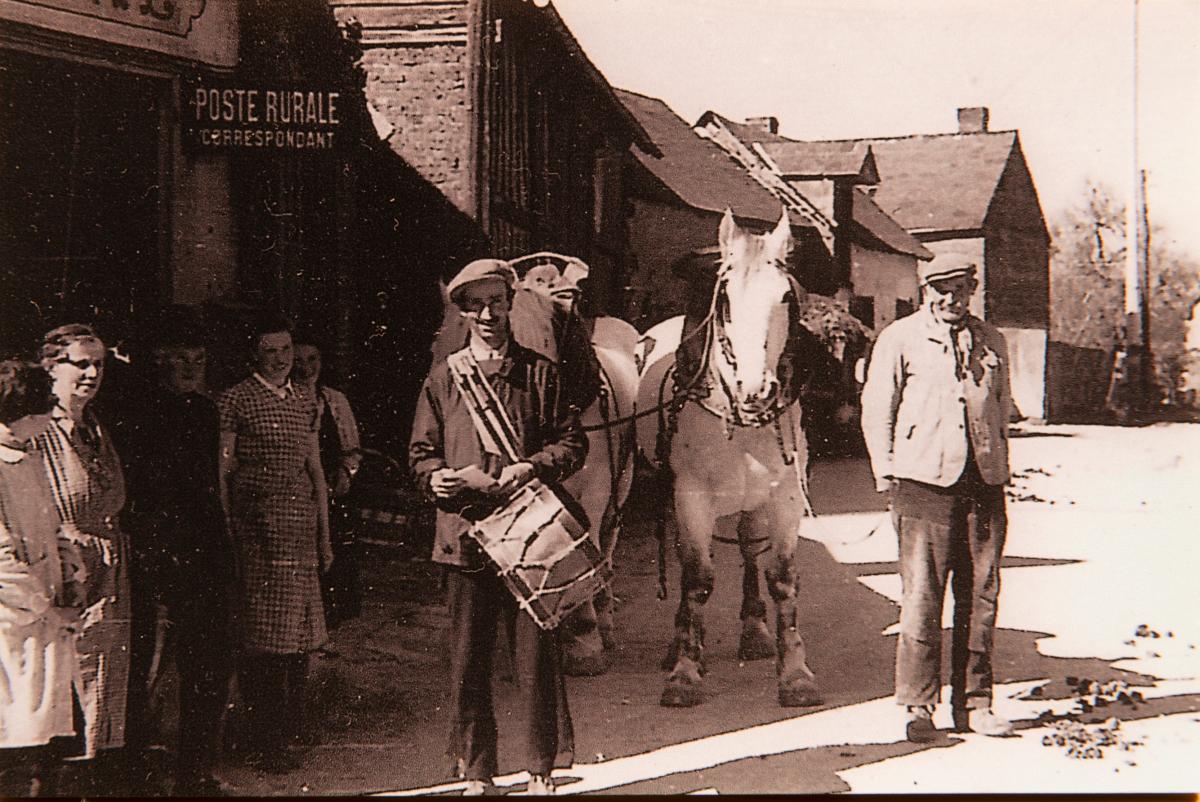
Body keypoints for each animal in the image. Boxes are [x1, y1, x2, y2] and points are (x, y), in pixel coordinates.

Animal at [638, 208, 825, 705]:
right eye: (724, 299)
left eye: (786, 296)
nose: (756, 389)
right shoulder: (690, 498)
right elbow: (697, 579)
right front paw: (685, 670)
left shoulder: (783, 497)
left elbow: (782, 578)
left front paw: (795, 674)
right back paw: (678, 643)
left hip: (752, 502)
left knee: (747, 550)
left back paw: (755, 632)